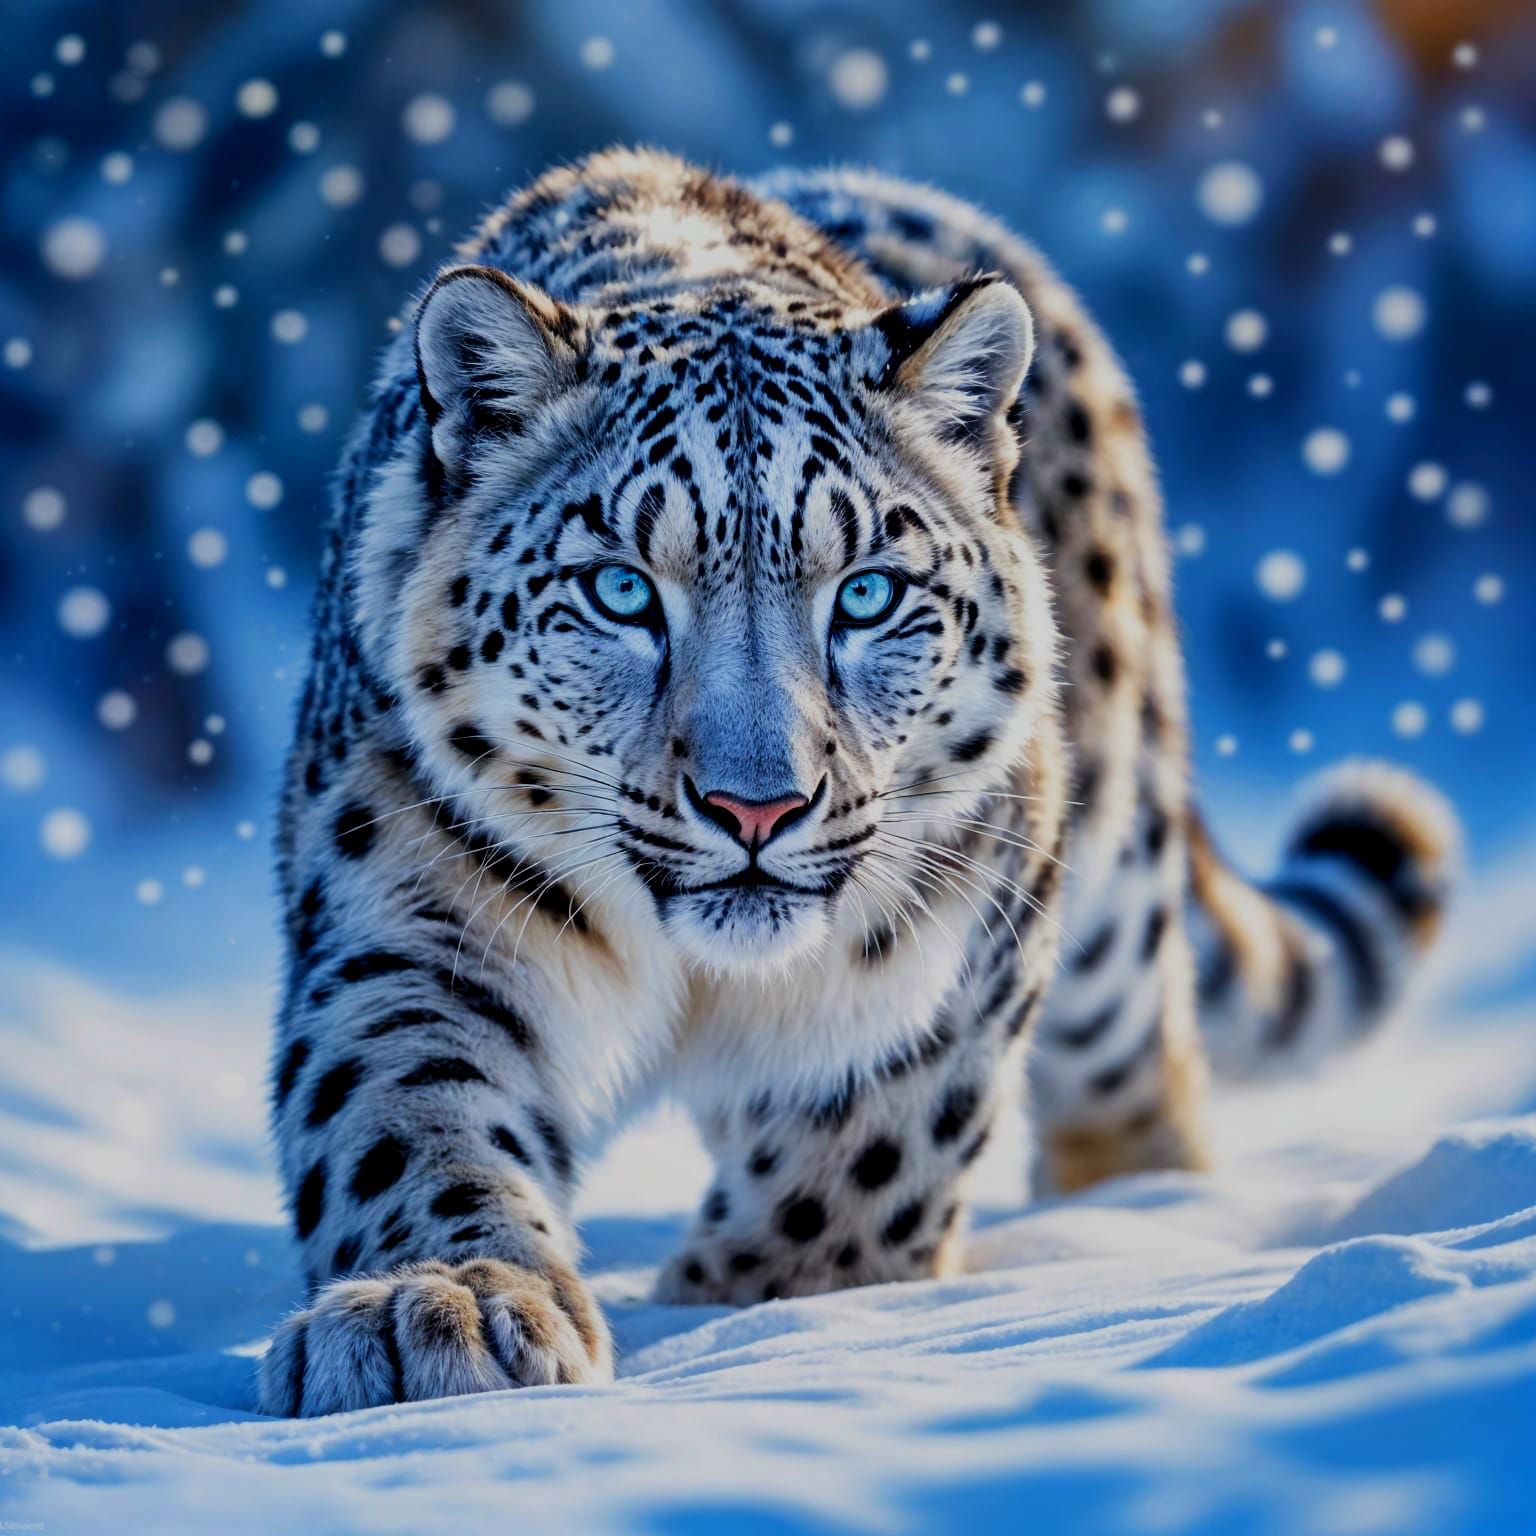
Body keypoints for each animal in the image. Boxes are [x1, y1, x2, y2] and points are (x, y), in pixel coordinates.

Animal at [257, 148, 1458, 1416]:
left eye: (869, 593)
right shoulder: (412, 925)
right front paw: (443, 1308)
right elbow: (408, 1110)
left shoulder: (951, 944)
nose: (757, 806)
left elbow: (865, 1165)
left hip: (1112, 884)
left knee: (1138, 1063)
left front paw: (751, 1310)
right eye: (622, 590)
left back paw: (1139, 1221)